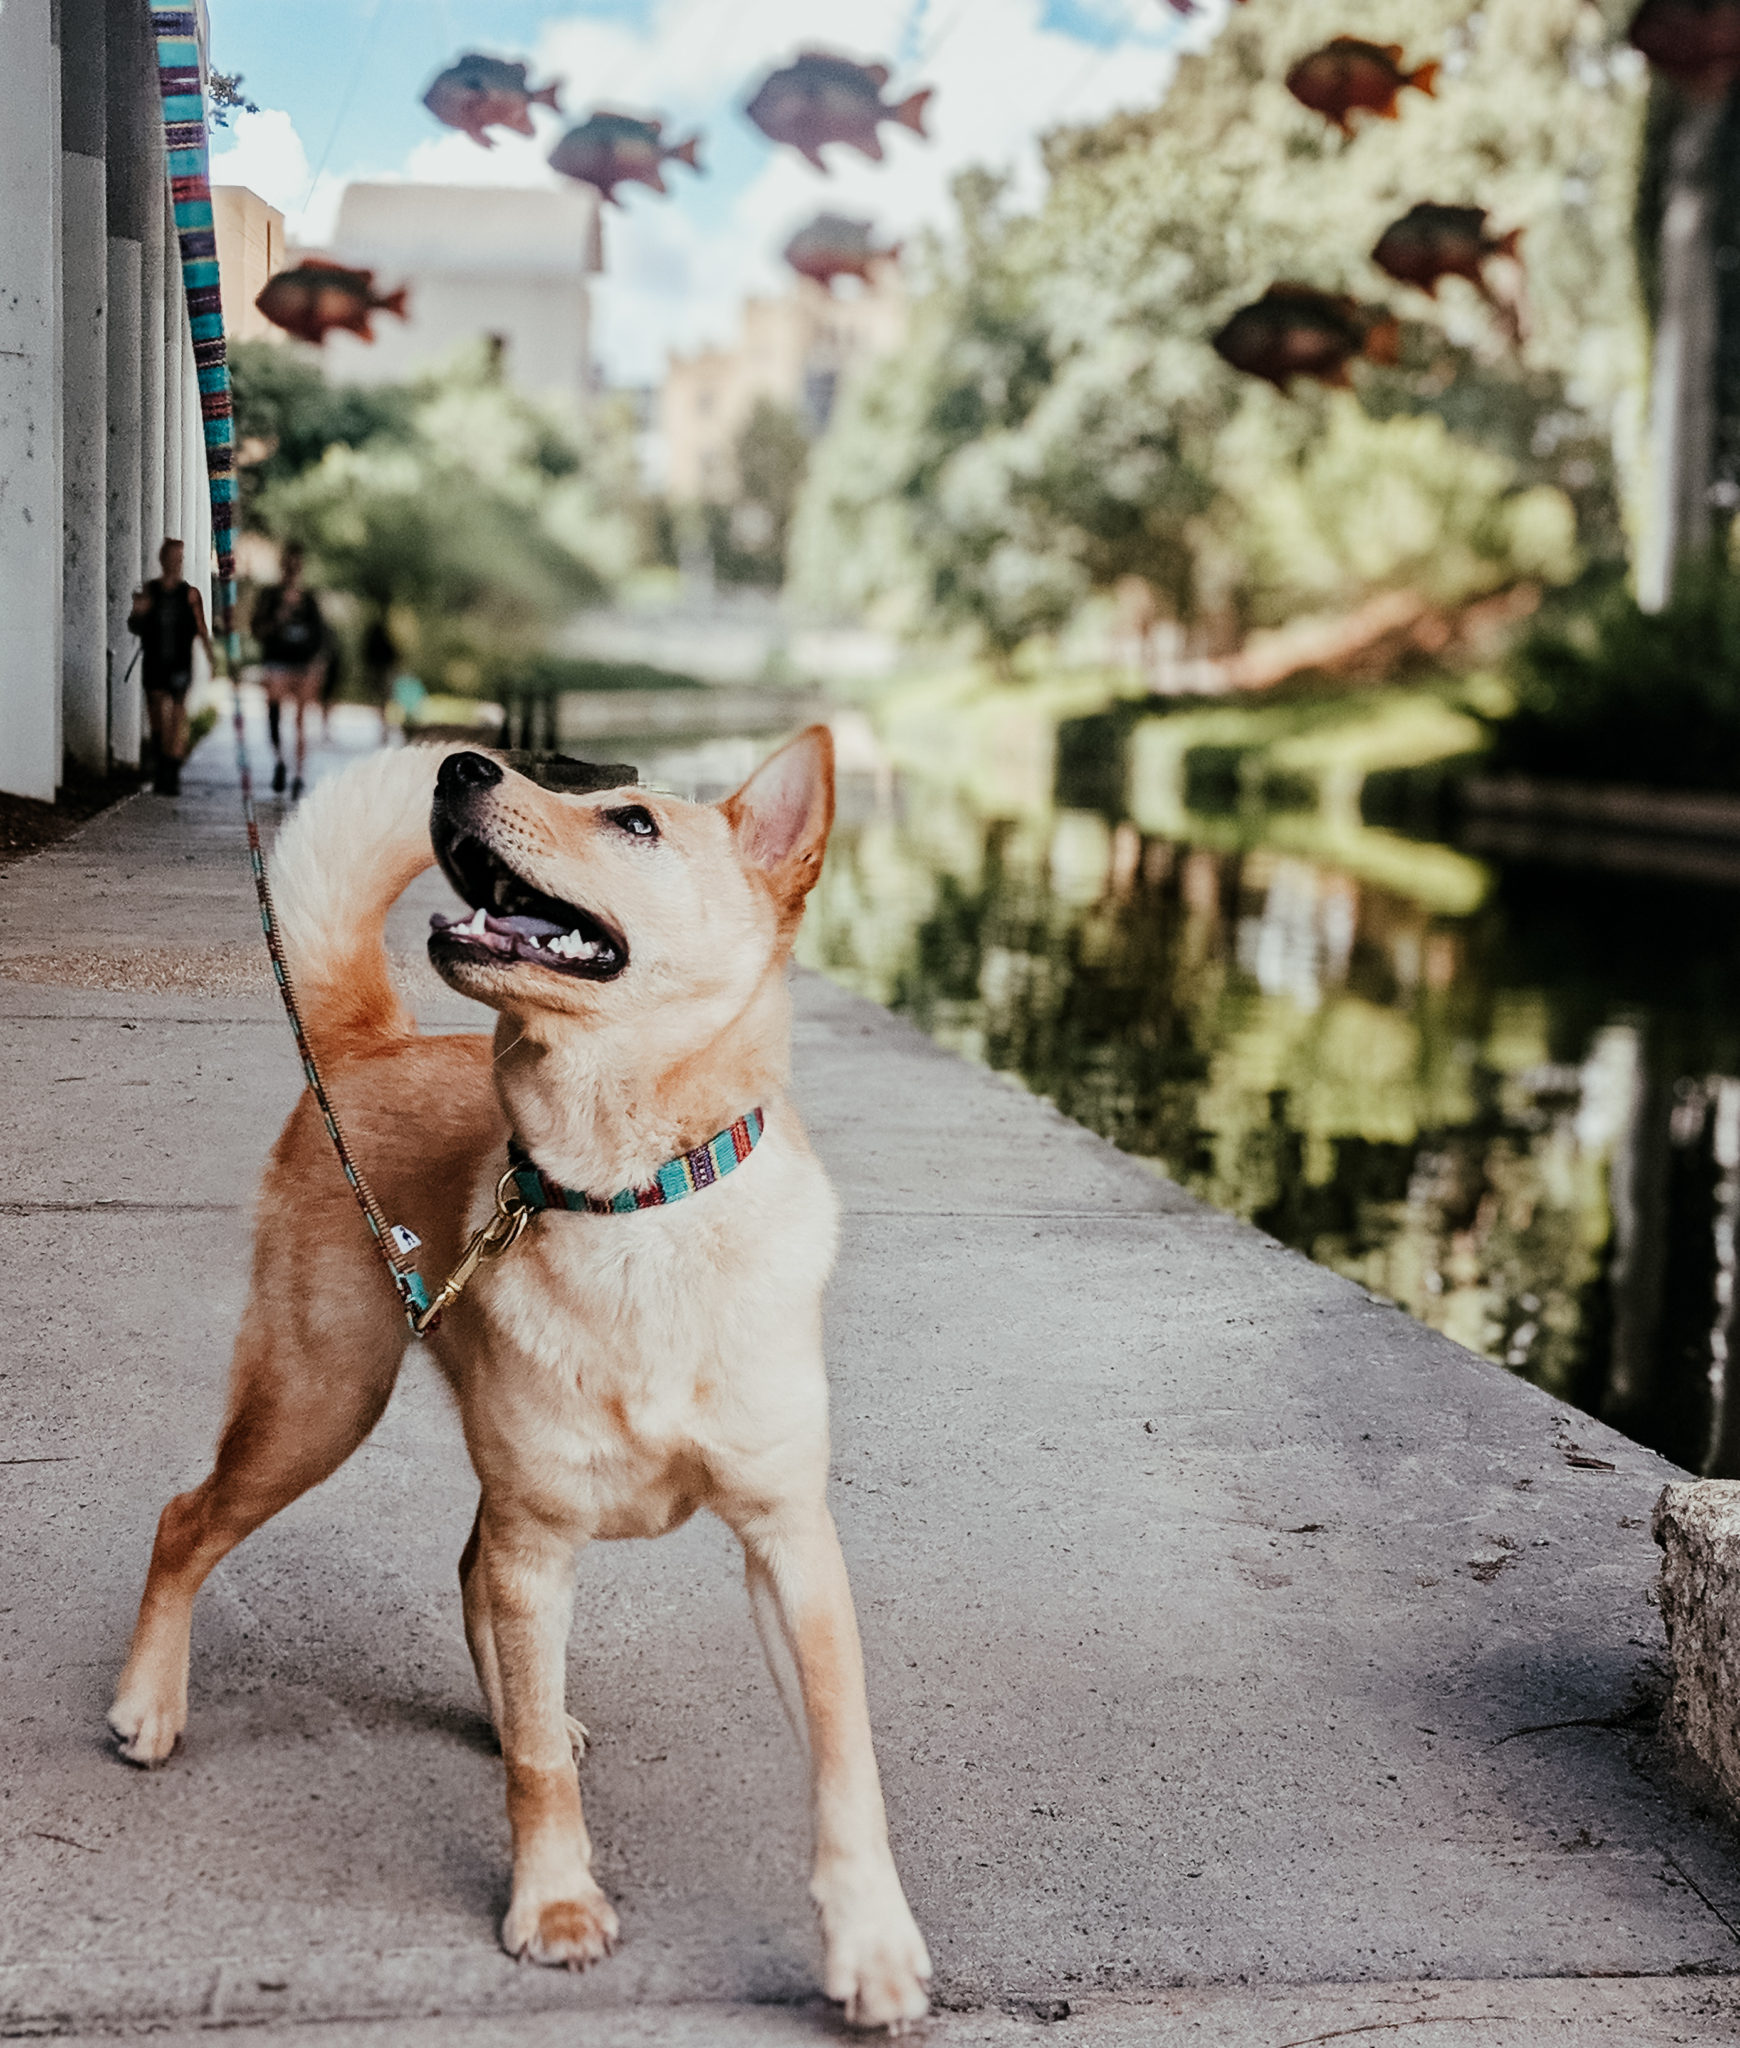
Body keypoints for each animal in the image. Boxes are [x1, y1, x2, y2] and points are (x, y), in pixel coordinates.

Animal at [104, 737, 937, 2031]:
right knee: (186, 1518)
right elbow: (543, 1772)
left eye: (634, 820)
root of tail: (372, 1038)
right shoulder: (541, 1540)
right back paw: (149, 1702)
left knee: (467, 1577)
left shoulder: (790, 1541)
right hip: (319, 1398)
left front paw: (872, 1941)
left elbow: (848, 1761)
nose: (460, 764)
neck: (632, 1196)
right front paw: (552, 1901)